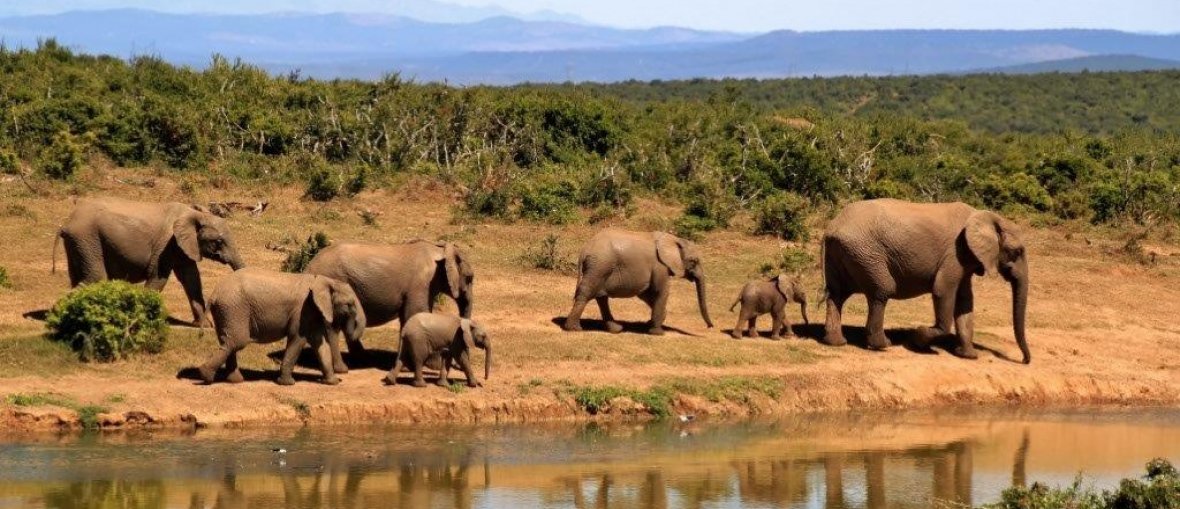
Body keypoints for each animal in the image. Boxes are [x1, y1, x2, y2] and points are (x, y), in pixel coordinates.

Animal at [54, 197, 246, 325]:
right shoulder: (167, 244)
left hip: (79, 243)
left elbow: (191, 280)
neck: (195, 214)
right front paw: (142, 319)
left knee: (79, 277)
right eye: (219, 242)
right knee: (95, 277)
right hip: (87, 239)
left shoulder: (183, 247)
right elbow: (159, 278)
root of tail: (66, 224)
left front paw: (204, 326)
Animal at [197, 268, 366, 385]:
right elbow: (297, 339)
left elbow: (320, 344)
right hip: (234, 309)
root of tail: (214, 294)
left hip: (227, 311)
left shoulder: (312, 312)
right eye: (349, 304)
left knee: (229, 341)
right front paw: (288, 384)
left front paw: (332, 382)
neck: (326, 281)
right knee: (237, 341)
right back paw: (205, 376)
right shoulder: (303, 310)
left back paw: (235, 380)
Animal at [303, 239, 474, 371]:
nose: (456, 366)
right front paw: (432, 366)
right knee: (332, 326)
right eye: (469, 278)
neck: (439, 249)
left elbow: (408, 318)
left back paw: (363, 359)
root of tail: (308, 267)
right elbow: (416, 314)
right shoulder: (420, 285)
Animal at [562, 229, 713, 335]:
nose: (710, 327)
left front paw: (651, 323)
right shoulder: (660, 266)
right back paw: (574, 329)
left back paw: (616, 329)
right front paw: (658, 332)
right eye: (694, 261)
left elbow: (646, 293)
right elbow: (660, 291)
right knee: (587, 293)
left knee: (601, 297)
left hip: (600, 268)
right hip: (600, 266)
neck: (674, 239)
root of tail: (584, 250)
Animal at [821, 199, 1030, 363]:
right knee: (882, 290)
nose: (1024, 360)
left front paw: (968, 356)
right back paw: (883, 345)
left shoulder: (965, 259)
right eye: (1017, 251)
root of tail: (832, 227)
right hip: (865, 253)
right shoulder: (955, 254)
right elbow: (943, 290)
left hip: (844, 254)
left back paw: (836, 342)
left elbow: (965, 301)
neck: (985, 216)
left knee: (837, 294)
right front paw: (918, 339)